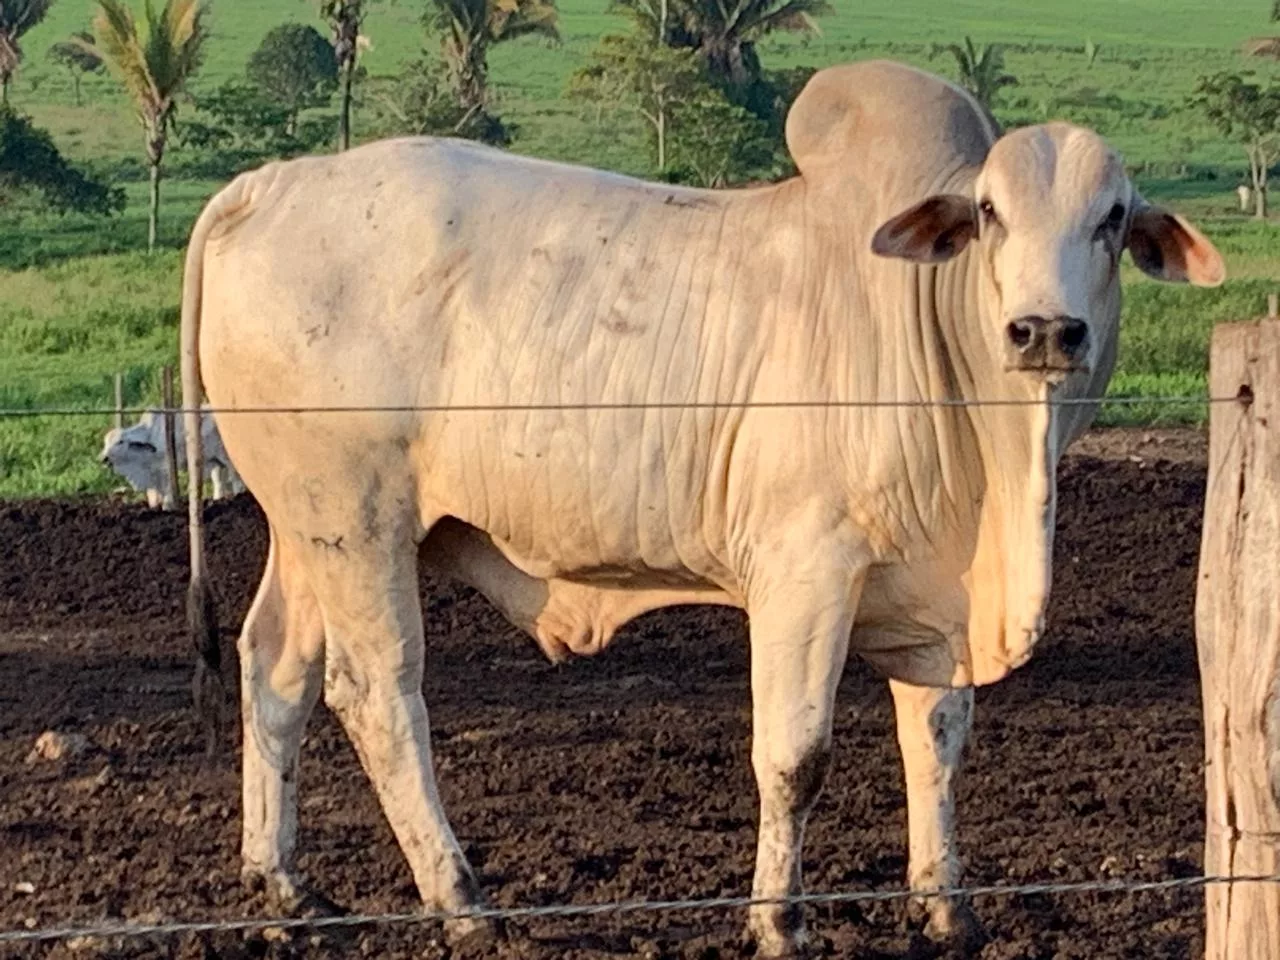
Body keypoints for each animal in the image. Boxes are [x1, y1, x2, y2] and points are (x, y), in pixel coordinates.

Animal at [99, 407, 241, 512]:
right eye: (105, 442)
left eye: (120, 442)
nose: (104, 458)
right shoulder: (151, 472)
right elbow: (153, 493)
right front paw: (154, 507)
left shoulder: (165, 467)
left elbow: (167, 489)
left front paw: (167, 506)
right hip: (215, 460)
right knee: (219, 481)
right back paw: (218, 499)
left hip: (226, 456)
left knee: (235, 477)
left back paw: (239, 496)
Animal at [177, 64, 1218, 957]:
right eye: (992, 212)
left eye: (1112, 218)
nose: (1044, 331)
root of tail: (266, 186)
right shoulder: (807, 573)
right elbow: (795, 756)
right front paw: (778, 921)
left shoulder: (932, 595)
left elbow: (937, 743)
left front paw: (944, 908)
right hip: (359, 524)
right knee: (379, 694)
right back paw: (462, 902)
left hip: (308, 528)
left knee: (275, 667)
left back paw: (284, 887)